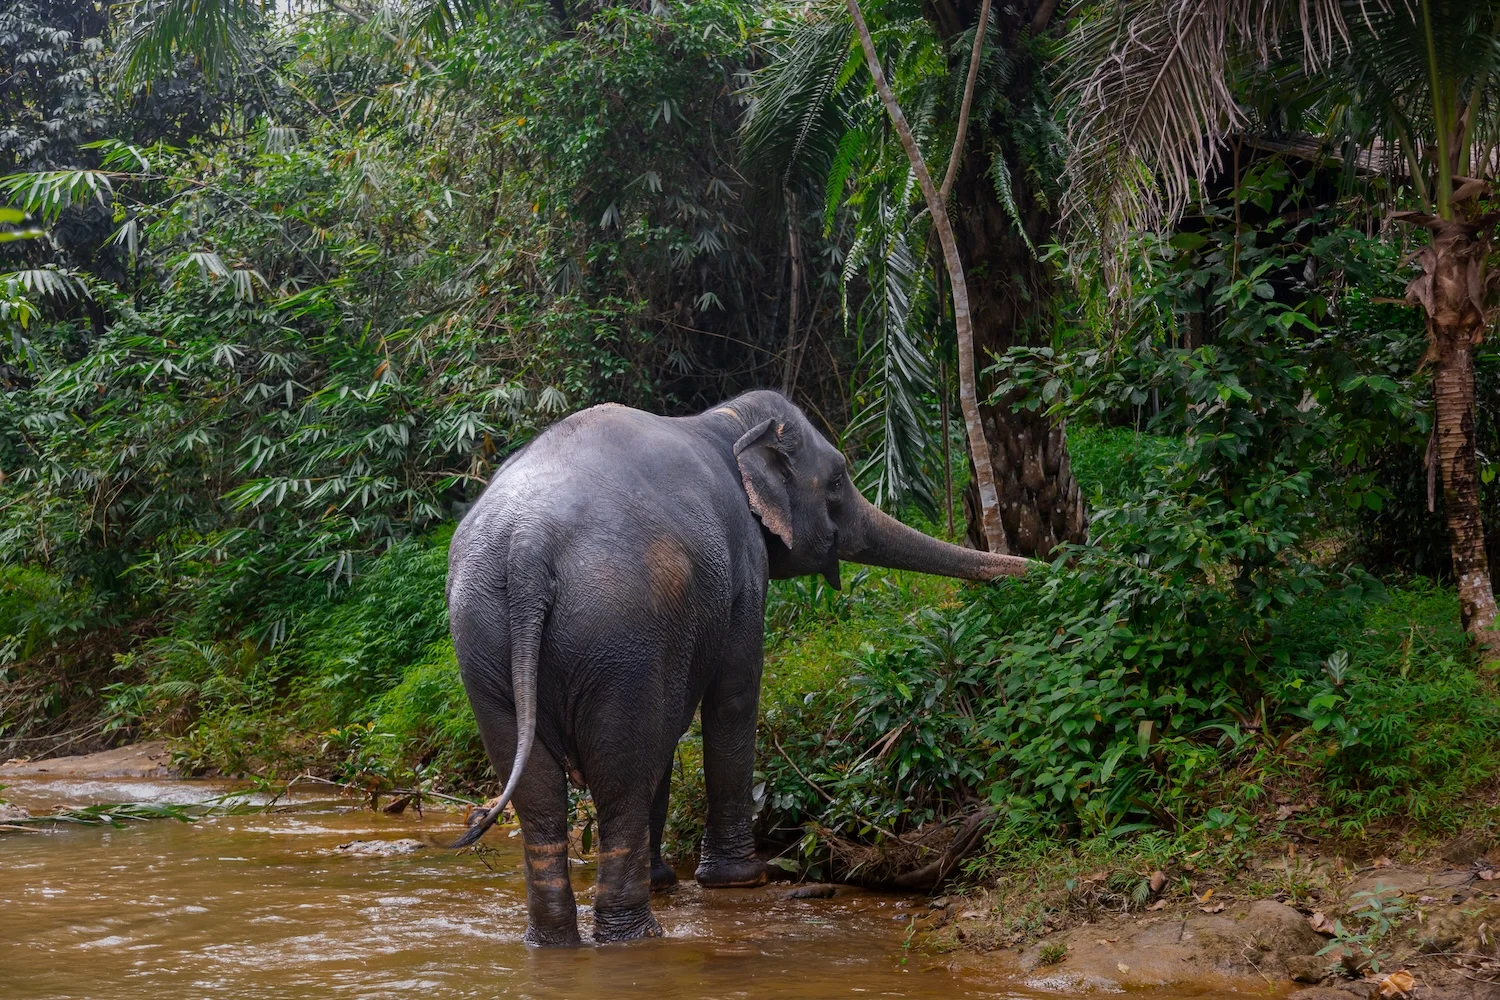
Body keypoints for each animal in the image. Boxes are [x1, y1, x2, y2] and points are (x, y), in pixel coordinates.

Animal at [444, 389, 1032, 947]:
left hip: (485, 643)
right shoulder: (745, 566)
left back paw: (554, 942)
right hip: (616, 633)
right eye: (838, 479)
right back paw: (637, 936)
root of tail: (529, 548)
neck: (723, 419)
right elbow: (733, 696)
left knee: (538, 791)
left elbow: (670, 733)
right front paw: (743, 878)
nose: (1039, 567)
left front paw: (670, 879)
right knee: (620, 773)